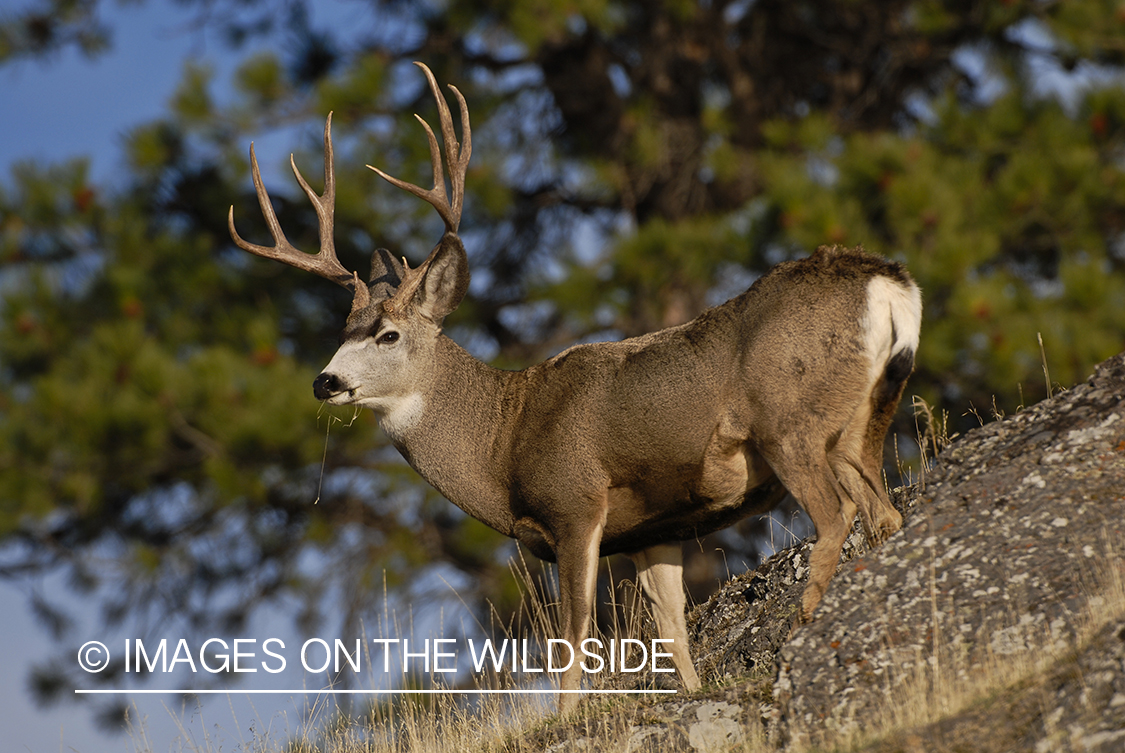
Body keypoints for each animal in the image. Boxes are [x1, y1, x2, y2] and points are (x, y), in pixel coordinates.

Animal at [228, 62, 922, 712]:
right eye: (343, 329)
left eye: (389, 335)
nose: (325, 382)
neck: (504, 441)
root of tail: (888, 281)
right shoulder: (653, 529)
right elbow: (672, 631)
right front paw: (694, 692)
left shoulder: (576, 505)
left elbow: (573, 638)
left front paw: (566, 720)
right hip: (861, 418)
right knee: (883, 512)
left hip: (789, 423)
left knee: (836, 516)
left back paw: (806, 634)